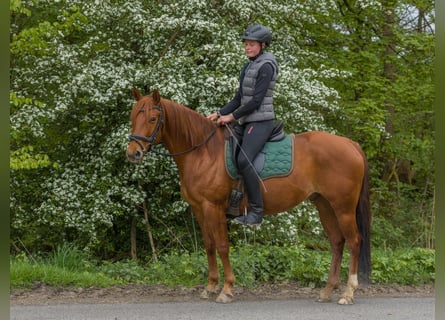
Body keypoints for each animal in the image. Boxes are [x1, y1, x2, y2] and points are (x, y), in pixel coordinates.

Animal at [125, 88, 372, 304]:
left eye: (153, 119)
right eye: (133, 116)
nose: (132, 153)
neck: (204, 152)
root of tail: (351, 144)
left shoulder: (213, 207)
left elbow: (222, 246)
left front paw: (226, 289)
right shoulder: (199, 208)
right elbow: (209, 245)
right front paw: (211, 286)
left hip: (343, 207)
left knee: (354, 241)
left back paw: (348, 293)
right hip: (324, 204)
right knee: (337, 242)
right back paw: (327, 290)